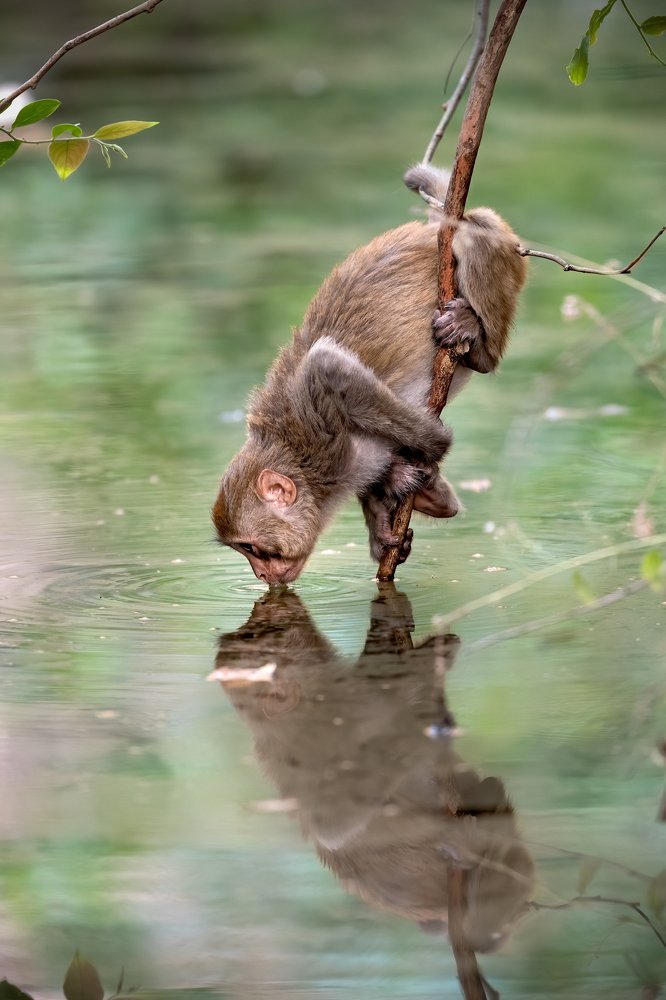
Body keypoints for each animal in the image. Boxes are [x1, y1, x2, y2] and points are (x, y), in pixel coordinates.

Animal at [213, 164, 527, 584]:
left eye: (251, 548)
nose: (261, 576)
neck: (306, 469)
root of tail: (431, 231)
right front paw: (388, 521)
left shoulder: (323, 441)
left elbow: (327, 364)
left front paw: (435, 443)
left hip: (502, 251)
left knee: (474, 232)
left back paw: (477, 345)